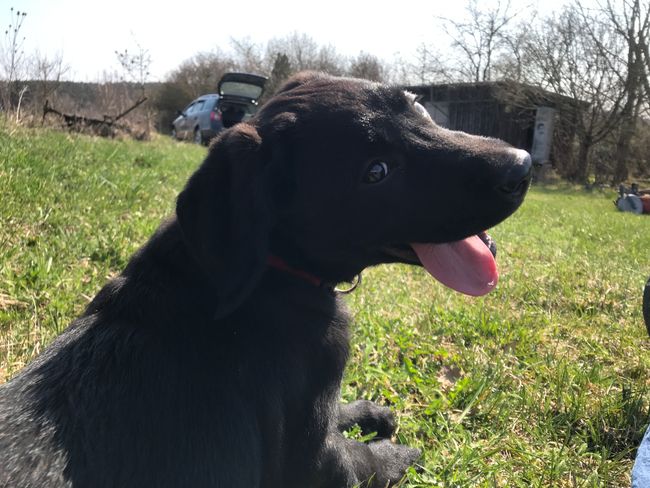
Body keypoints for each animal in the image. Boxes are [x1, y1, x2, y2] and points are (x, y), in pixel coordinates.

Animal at [0, 72, 528, 488]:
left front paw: (366, 411)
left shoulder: (314, 406)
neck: (272, 273)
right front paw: (401, 453)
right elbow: (363, 459)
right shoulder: (314, 456)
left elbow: (337, 411)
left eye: (416, 105)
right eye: (375, 172)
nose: (521, 166)